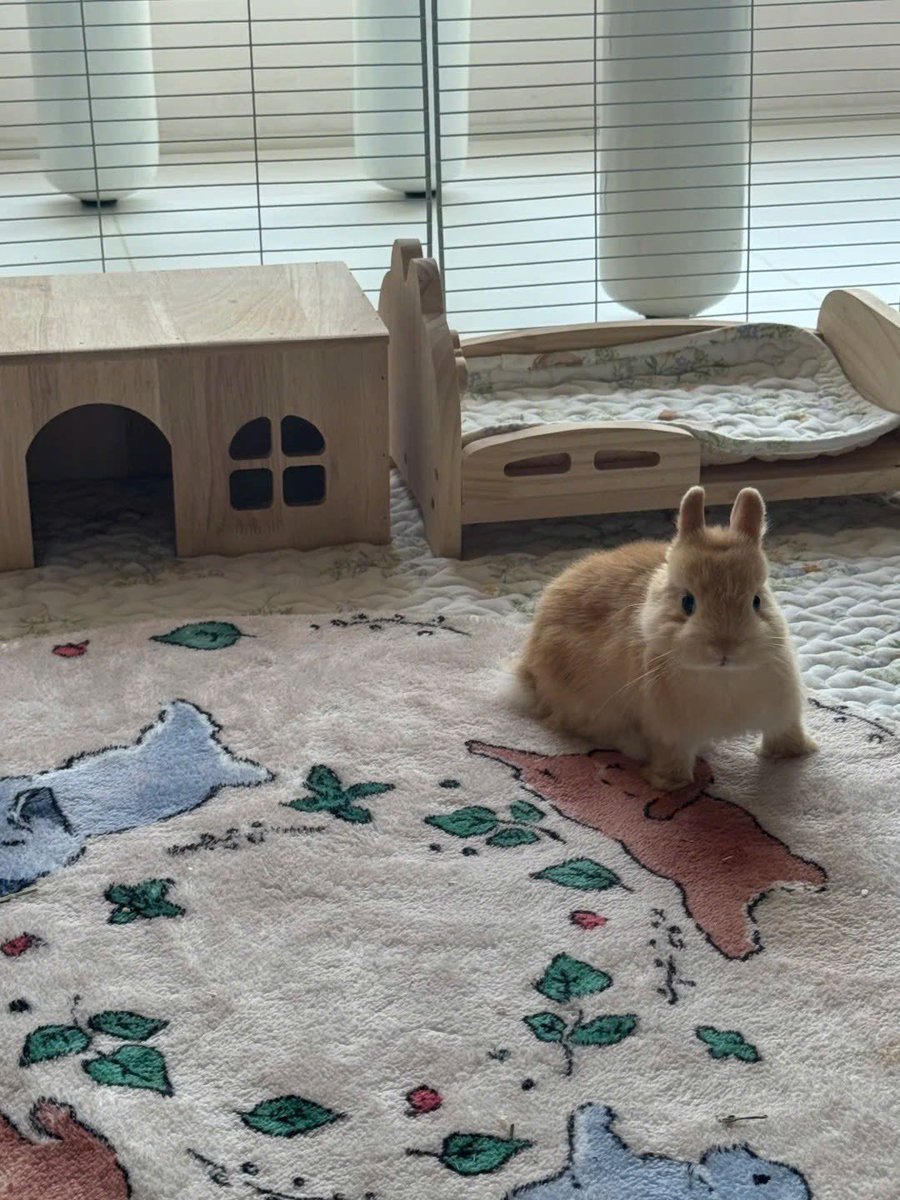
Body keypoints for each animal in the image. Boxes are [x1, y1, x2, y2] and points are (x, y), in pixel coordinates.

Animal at [515, 485, 817, 792]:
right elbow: (673, 756)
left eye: (756, 600)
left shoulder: (783, 711)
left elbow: (784, 731)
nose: (725, 648)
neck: (723, 677)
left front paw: (794, 753)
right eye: (687, 602)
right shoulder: (670, 732)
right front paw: (669, 784)